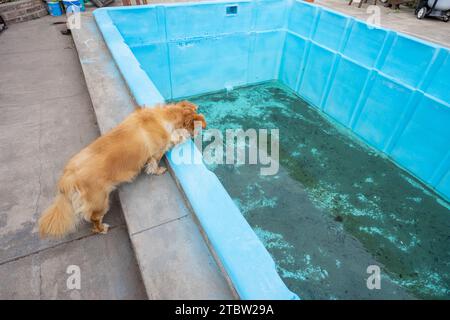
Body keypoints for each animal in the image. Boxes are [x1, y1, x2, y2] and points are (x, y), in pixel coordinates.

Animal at [38, 101, 206, 239]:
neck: (164, 117)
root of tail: (68, 176)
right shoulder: (156, 153)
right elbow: (154, 163)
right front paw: (158, 170)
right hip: (101, 202)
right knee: (94, 220)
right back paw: (103, 229)